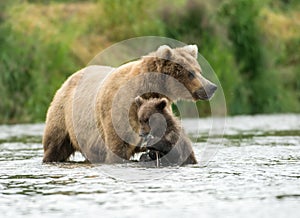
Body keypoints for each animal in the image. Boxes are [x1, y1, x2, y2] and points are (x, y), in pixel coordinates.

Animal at [42, 44, 216, 164]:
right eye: (190, 73)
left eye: (199, 70)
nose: (211, 87)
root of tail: (69, 77)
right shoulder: (118, 113)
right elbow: (118, 148)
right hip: (63, 117)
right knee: (55, 145)